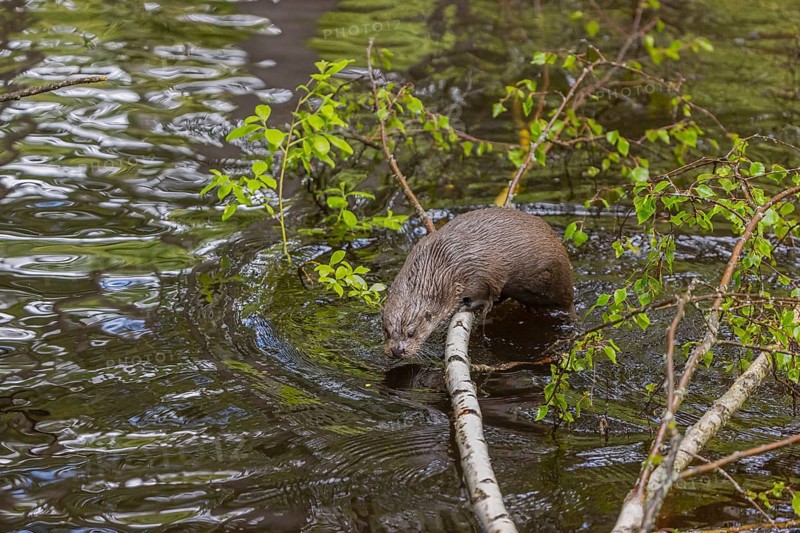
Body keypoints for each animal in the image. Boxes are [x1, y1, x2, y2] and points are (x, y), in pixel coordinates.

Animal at [382, 208, 574, 358]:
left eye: (411, 333)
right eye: (387, 331)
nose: (397, 351)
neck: (441, 263)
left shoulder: (482, 271)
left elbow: (486, 291)